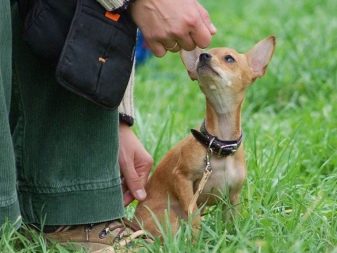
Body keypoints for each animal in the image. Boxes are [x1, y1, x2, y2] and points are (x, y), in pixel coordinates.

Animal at [134, 36, 276, 237]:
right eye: (206, 53)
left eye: (229, 58)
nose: (203, 56)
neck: (220, 145)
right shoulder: (182, 179)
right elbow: (193, 215)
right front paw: (196, 239)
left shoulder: (233, 197)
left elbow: (231, 223)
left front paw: (232, 238)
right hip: (168, 218)